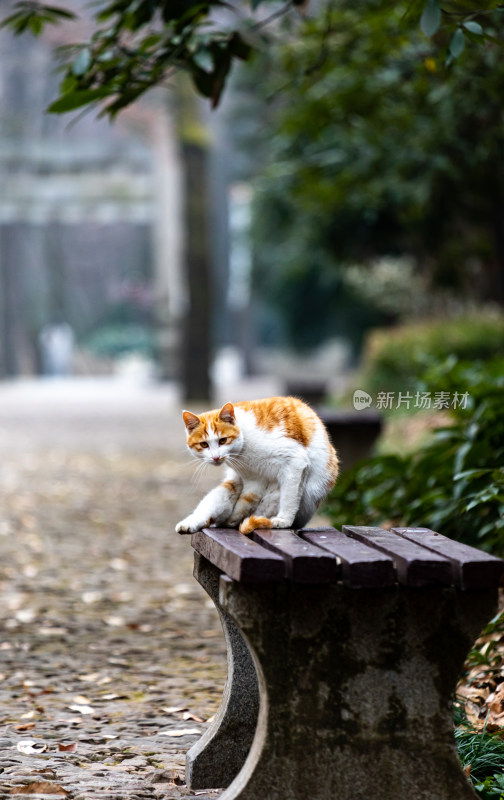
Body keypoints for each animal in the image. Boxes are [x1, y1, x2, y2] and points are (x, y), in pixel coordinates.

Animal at [174, 396, 338, 536]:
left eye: (223, 440)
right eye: (204, 444)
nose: (216, 457)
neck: (244, 446)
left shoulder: (295, 462)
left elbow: (289, 498)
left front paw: (283, 520)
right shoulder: (253, 479)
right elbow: (245, 502)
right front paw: (232, 520)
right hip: (231, 484)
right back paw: (192, 523)